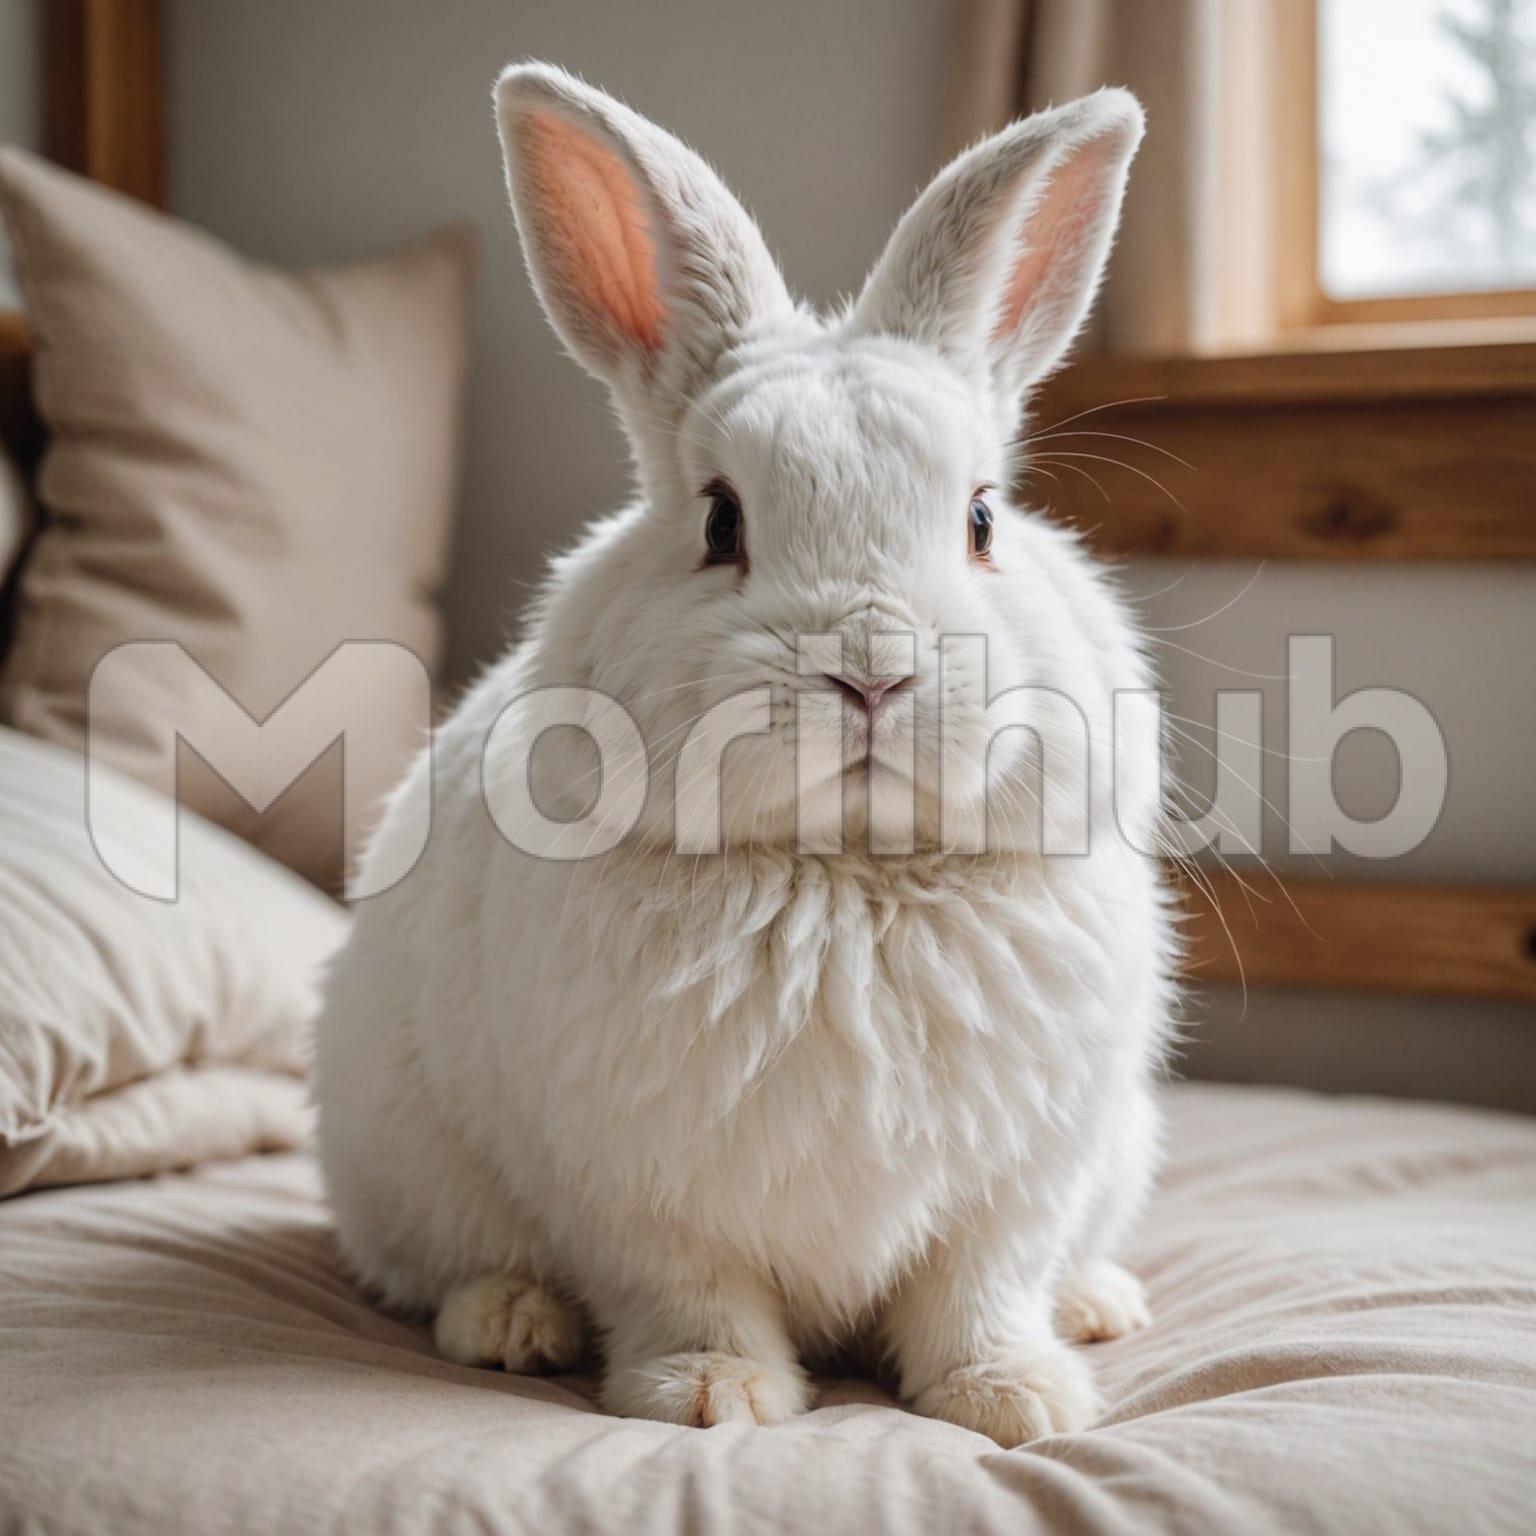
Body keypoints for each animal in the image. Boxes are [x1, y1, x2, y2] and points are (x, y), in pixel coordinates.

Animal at [313, 61, 1176, 1448]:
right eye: (721, 521)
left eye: (984, 519)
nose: (873, 672)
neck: (847, 871)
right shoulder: (637, 1193)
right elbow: (689, 1294)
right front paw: (715, 1401)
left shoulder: (1016, 1184)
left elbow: (979, 1292)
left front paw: (1017, 1402)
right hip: (398, 1164)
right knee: (436, 1268)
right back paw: (511, 1324)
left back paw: (1097, 1306)